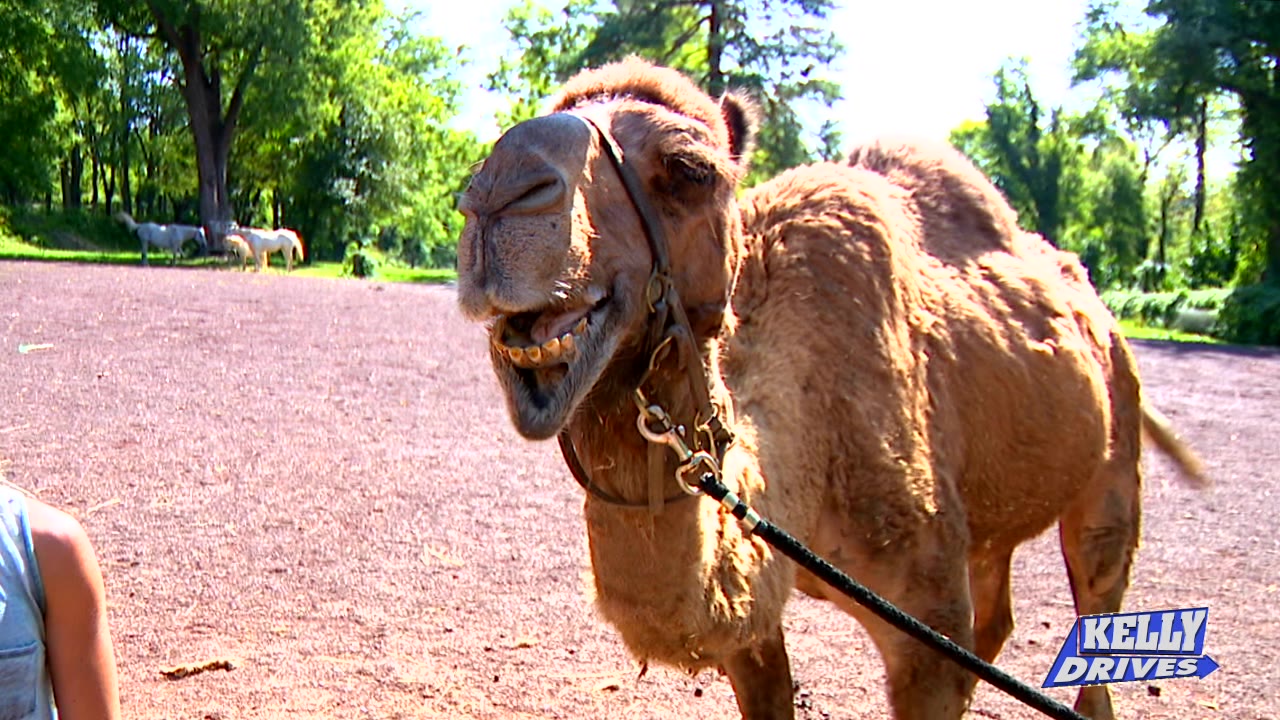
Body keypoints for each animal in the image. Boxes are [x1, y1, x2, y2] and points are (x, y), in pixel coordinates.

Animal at [455, 58, 1207, 720]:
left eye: (692, 170)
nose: (496, 191)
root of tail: (1097, 307)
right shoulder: (754, 616)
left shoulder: (925, 627)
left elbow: (946, 653)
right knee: (995, 610)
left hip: (1112, 462)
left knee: (1095, 603)